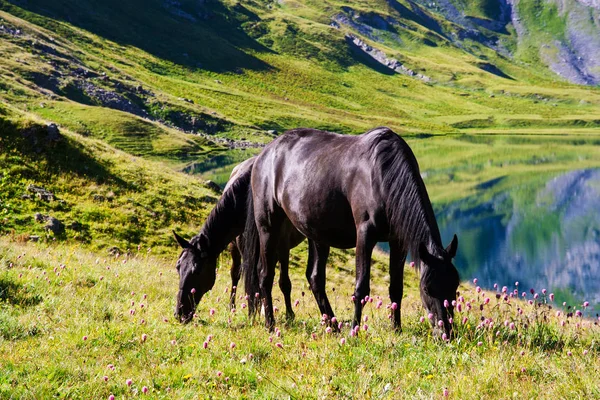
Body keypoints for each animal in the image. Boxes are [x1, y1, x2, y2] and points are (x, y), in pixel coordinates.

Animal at [173, 158, 304, 324]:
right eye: (178, 267)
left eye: (197, 271)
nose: (180, 314)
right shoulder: (239, 246)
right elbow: (242, 276)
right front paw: (248, 310)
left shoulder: (283, 246)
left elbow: (284, 282)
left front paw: (289, 315)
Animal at [241, 127, 462, 334]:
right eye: (426, 288)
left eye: (455, 285)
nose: (446, 331)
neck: (381, 175)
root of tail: (263, 155)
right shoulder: (365, 235)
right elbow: (361, 287)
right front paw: (354, 331)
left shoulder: (397, 242)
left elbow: (396, 288)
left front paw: (396, 329)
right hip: (268, 228)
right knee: (265, 275)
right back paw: (271, 325)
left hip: (316, 234)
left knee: (315, 278)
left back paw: (333, 325)